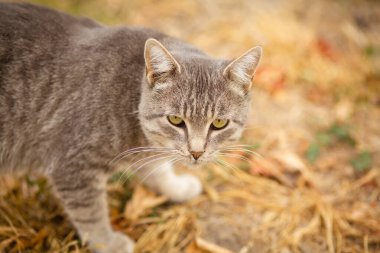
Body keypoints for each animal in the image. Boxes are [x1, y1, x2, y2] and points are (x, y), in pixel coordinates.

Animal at [0, 2, 262, 253]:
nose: (196, 153)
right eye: (175, 120)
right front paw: (107, 243)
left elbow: (157, 168)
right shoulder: (74, 166)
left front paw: (175, 187)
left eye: (219, 123)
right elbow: (91, 213)